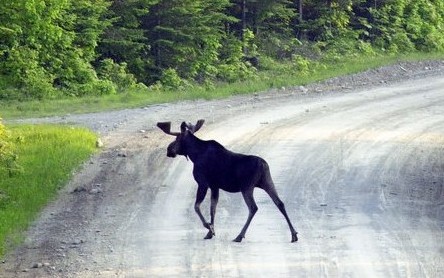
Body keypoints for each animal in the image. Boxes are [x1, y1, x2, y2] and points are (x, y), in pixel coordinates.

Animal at [157, 119, 298, 243]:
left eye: (176, 139)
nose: (168, 150)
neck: (194, 155)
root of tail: (263, 165)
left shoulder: (203, 182)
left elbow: (197, 206)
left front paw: (209, 227)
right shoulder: (215, 186)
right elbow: (212, 208)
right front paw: (210, 232)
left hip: (247, 186)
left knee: (253, 208)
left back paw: (239, 236)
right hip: (267, 181)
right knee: (280, 203)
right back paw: (294, 234)